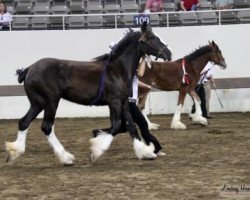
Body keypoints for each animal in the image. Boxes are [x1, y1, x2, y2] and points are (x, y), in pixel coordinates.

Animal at [6, 21, 174, 166]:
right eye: (151, 37)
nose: (169, 53)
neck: (118, 69)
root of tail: (29, 69)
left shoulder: (124, 101)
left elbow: (131, 126)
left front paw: (145, 152)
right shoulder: (114, 102)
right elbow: (115, 126)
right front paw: (95, 151)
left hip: (37, 103)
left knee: (24, 122)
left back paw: (14, 152)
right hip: (50, 102)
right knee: (46, 127)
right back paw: (66, 158)